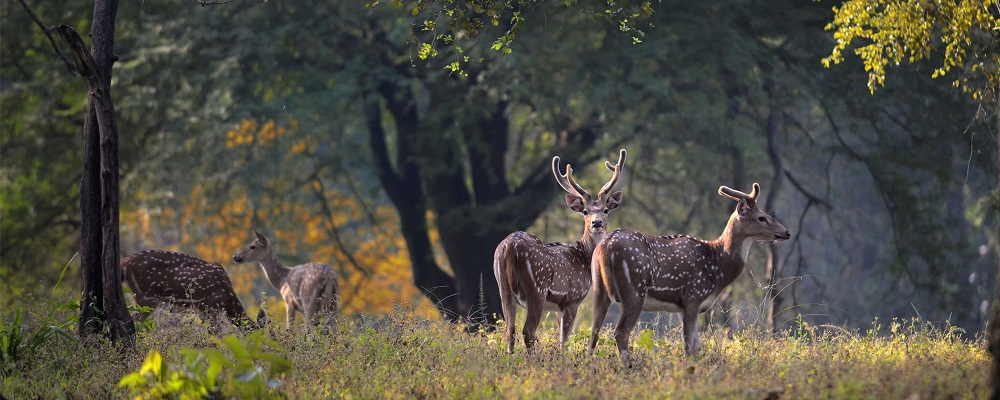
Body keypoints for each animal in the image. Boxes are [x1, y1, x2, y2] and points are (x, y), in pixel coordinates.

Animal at [119, 250, 268, 332]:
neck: (227, 301)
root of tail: (124, 264)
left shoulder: (202, 310)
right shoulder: (210, 306)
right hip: (147, 296)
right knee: (133, 321)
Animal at [496, 149, 628, 354]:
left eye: (606, 210)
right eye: (585, 212)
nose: (596, 223)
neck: (583, 256)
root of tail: (510, 246)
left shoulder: (558, 307)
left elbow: (561, 338)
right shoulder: (573, 298)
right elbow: (565, 340)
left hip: (502, 286)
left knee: (510, 330)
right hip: (537, 288)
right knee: (528, 331)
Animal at [584, 183, 788, 368]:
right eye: (762, 217)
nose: (786, 232)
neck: (718, 268)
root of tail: (606, 246)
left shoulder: (685, 307)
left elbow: (696, 346)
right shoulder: (693, 297)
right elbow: (690, 346)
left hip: (599, 288)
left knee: (594, 330)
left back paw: (588, 364)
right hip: (634, 290)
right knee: (620, 332)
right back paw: (628, 368)